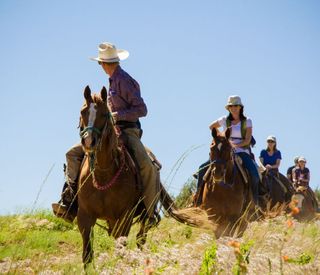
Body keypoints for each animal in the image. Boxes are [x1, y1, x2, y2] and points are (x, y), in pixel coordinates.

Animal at [76, 86, 209, 268]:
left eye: (104, 114)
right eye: (83, 111)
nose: (89, 141)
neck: (103, 174)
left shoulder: (124, 217)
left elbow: (121, 250)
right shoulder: (85, 218)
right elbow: (87, 256)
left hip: (144, 216)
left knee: (140, 239)